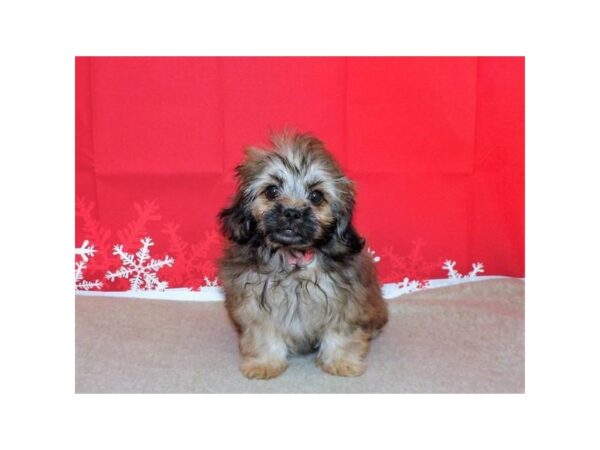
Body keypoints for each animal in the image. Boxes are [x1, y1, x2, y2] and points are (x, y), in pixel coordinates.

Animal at [218, 132, 386, 378]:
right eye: (272, 191)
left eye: (316, 196)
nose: (292, 212)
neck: (293, 258)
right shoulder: (255, 303)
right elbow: (263, 334)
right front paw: (265, 363)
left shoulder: (345, 302)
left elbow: (340, 334)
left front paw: (341, 361)